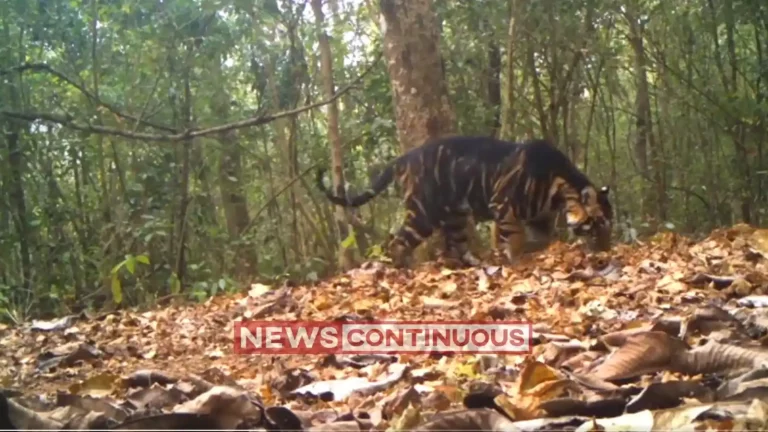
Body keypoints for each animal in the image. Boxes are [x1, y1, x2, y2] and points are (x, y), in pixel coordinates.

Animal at [316, 135, 613, 267]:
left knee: (456, 246)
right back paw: (406, 270)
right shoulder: (503, 206)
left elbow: (540, 239)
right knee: (397, 242)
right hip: (423, 213)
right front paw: (518, 261)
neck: (559, 192)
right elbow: (515, 239)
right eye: (598, 224)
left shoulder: (538, 219)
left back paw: (472, 265)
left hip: (455, 215)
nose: (607, 250)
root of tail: (402, 159)